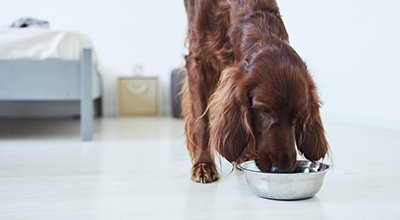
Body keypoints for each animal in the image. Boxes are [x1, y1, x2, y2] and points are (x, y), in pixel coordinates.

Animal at [183, 0, 330, 183]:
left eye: (298, 115)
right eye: (265, 111)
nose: (281, 169)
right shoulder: (198, 61)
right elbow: (201, 122)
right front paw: (203, 164)